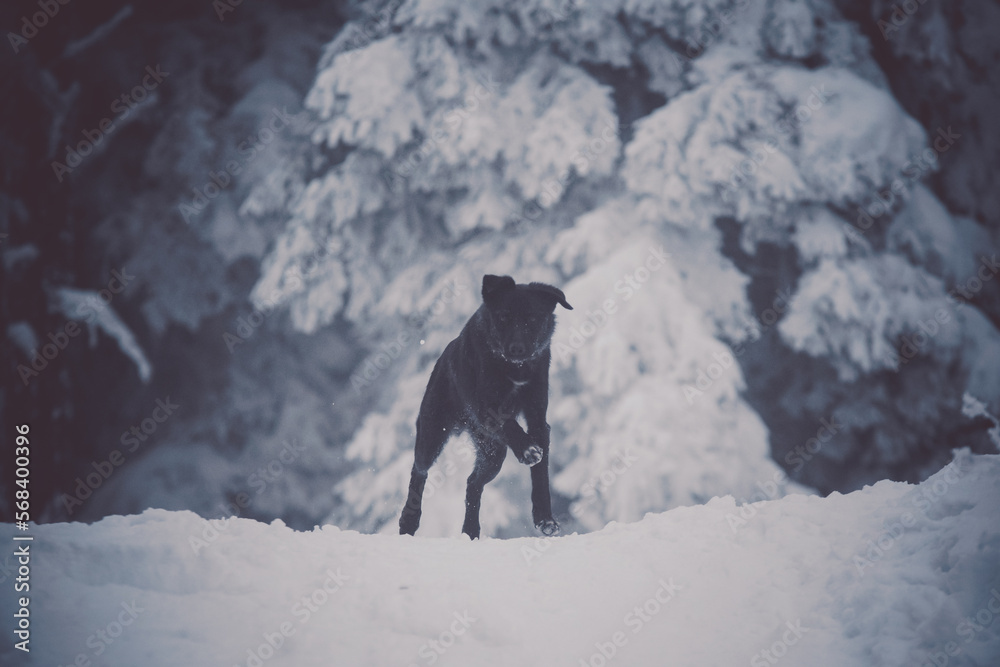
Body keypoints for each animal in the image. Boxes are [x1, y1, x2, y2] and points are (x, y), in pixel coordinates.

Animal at [396, 274, 572, 540]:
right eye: (503, 317)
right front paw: (527, 450)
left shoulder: (538, 420)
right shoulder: (486, 408)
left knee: (473, 484)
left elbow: (541, 473)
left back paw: (470, 531)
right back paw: (409, 520)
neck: (514, 367)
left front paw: (545, 519)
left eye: (532, 318)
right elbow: (510, 425)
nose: (517, 349)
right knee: (419, 470)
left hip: (492, 452)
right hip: (433, 433)